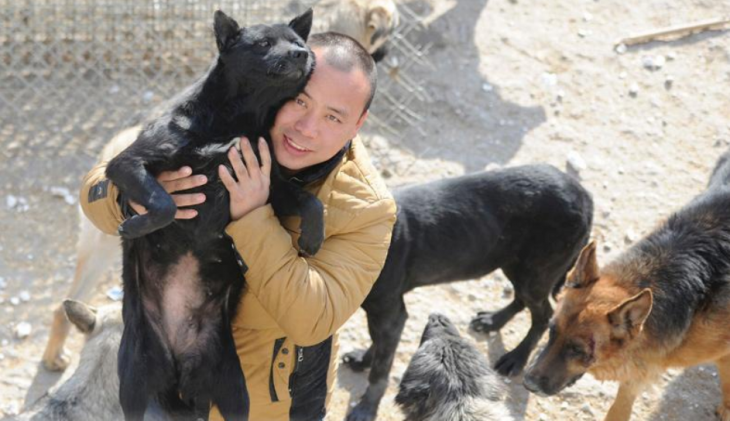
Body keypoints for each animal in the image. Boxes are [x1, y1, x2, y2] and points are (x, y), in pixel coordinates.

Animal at [104, 9, 314, 420]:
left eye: (298, 41)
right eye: (264, 43)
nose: (302, 54)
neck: (236, 120)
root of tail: (178, 362)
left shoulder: (270, 183)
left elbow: (311, 202)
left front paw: (316, 235)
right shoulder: (127, 163)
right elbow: (166, 204)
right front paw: (135, 224)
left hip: (234, 392)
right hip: (133, 381)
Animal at [342, 163, 592, 420]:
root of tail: (583, 194)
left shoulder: (390, 312)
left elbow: (381, 367)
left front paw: (366, 408)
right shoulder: (381, 312)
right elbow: (378, 343)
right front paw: (363, 360)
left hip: (535, 273)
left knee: (543, 314)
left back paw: (516, 357)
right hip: (516, 265)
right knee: (523, 300)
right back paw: (493, 320)